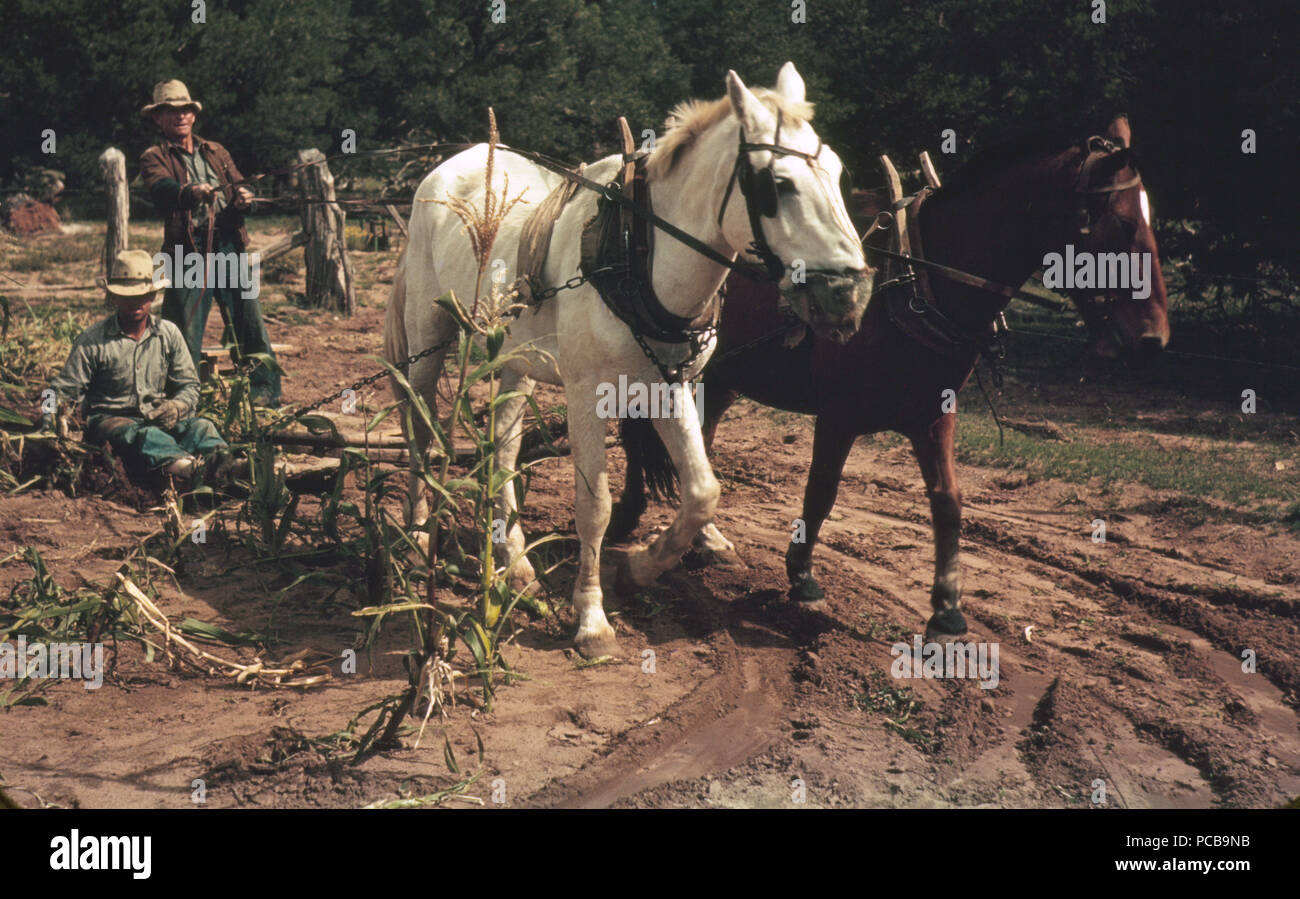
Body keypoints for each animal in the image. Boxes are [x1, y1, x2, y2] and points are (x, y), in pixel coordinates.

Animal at [384, 61, 873, 652]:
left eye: (839, 173)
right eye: (776, 184)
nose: (847, 295)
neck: (636, 257)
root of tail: (450, 165)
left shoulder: (667, 384)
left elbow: (702, 491)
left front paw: (640, 568)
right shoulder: (585, 395)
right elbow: (593, 507)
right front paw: (591, 620)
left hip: (514, 363)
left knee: (502, 447)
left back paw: (515, 561)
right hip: (426, 341)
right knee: (419, 432)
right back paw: (416, 538)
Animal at [608, 114, 1170, 639]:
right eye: (1121, 224)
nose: (1153, 338)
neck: (918, 278)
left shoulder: (933, 417)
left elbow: (948, 502)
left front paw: (948, 607)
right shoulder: (838, 415)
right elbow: (822, 491)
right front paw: (802, 577)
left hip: (722, 377)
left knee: (700, 438)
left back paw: (704, 538)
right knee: (636, 439)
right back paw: (627, 515)